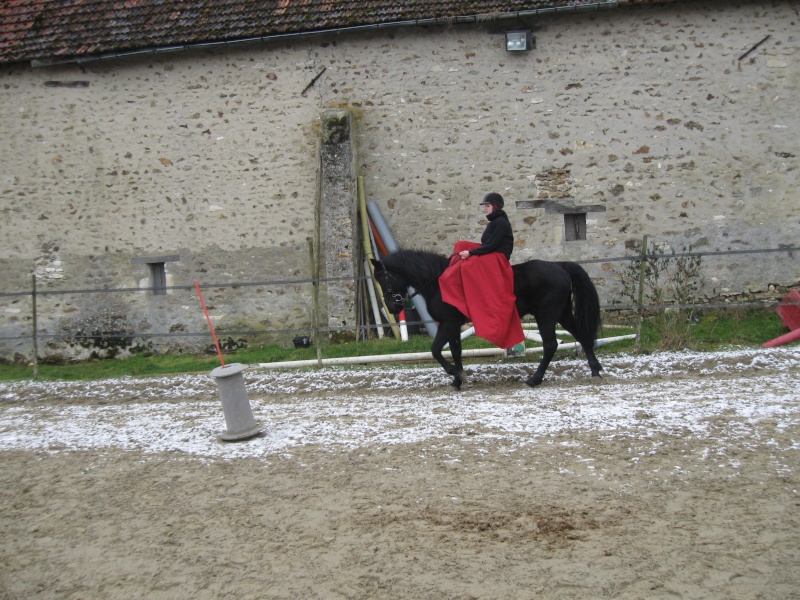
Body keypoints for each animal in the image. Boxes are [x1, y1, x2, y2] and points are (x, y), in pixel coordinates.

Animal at [372, 248, 604, 390]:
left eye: (383, 278)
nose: (392, 306)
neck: (439, 282)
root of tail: (560, 266)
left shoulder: (448, 323)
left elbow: (436, 350)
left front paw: (455, 374)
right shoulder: (454, 325)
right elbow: (455, 351)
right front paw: (458, 379)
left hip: (546, 315)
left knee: (550, 345)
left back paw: (534, 379)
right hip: (562, 314)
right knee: (582, 336)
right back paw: (595, 370)